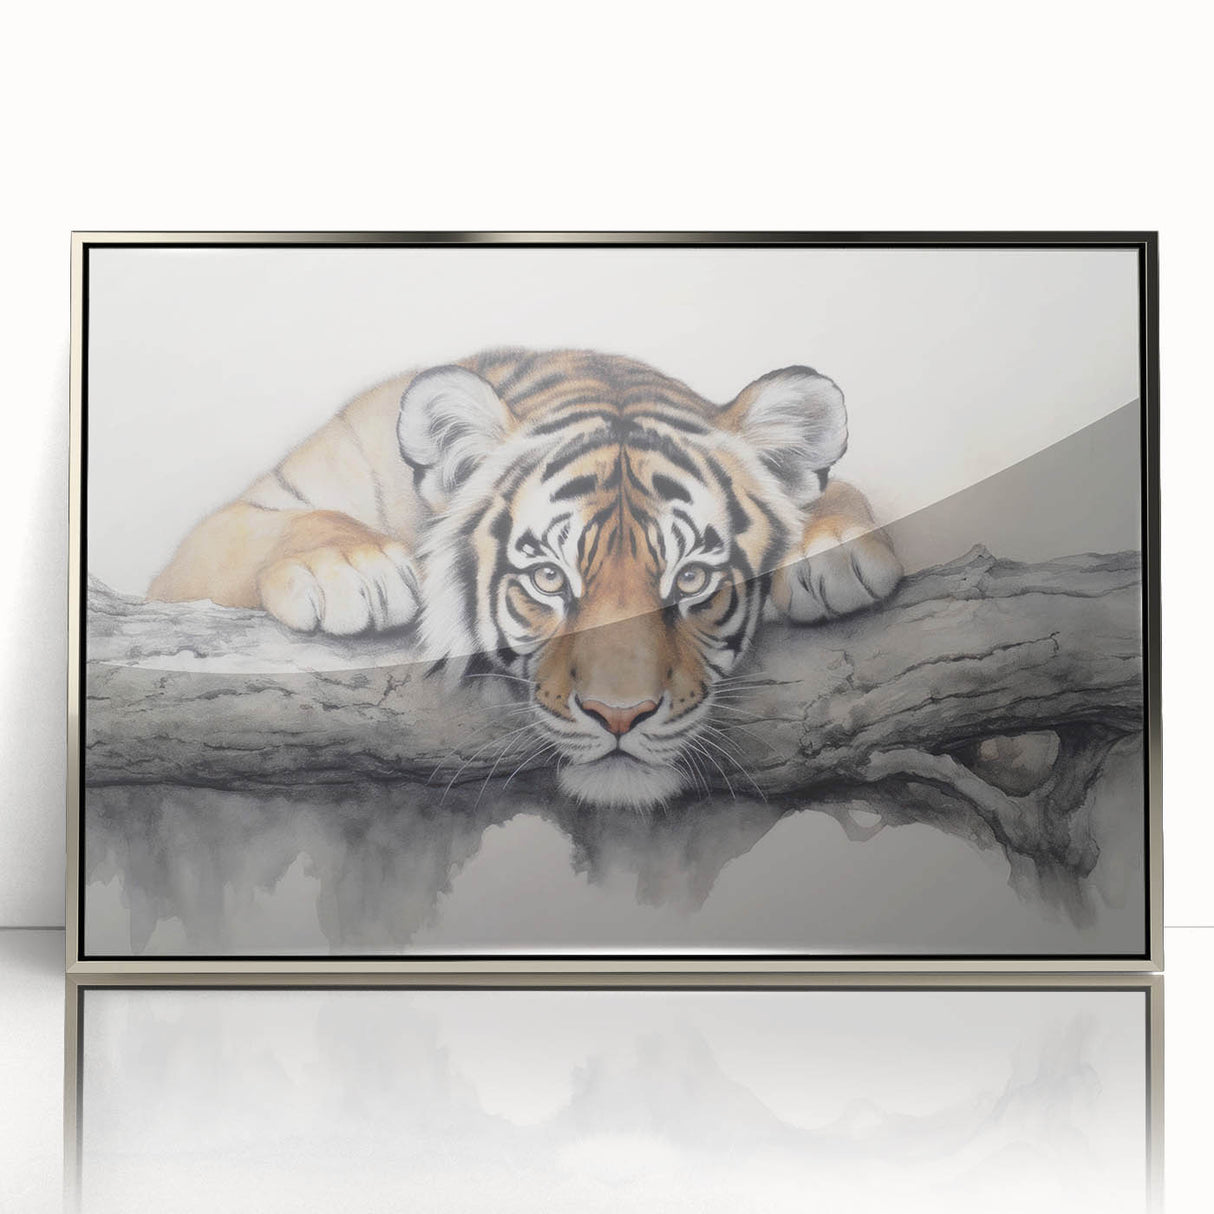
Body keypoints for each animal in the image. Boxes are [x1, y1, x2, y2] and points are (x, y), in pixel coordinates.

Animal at [149, 349, 902, 810]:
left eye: (692, 579)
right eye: (547, 578)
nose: (620, 715)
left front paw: (833, 547)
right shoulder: (214, 541)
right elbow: (293, 523)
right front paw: (351, 568)